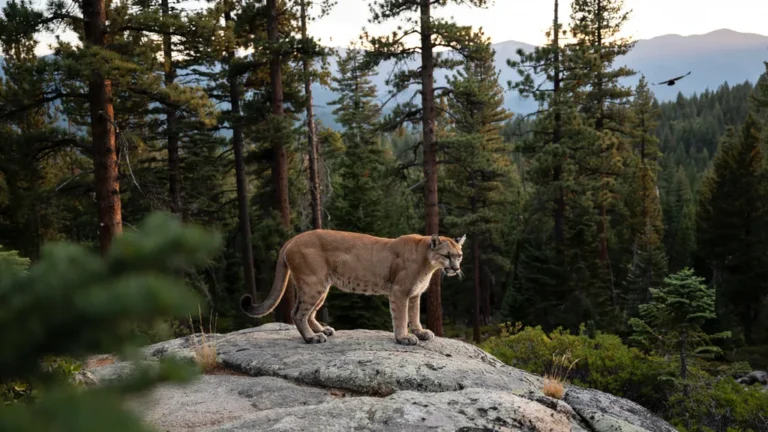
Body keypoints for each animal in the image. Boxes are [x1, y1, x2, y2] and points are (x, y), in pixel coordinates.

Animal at [240, 230, 465, 345]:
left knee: (308, 312)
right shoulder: (400, 292)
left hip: (321, 286)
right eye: (447, 255)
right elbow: (401, 317)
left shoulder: (415, 294)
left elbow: (415, 315)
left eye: (459, 255)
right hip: (314, 283)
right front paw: (403, 337)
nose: (455, 268)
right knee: (297, 313)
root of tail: (292, 239)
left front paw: (420, 332)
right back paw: (312, 337)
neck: (428, 262)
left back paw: (322, 329)